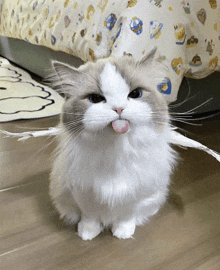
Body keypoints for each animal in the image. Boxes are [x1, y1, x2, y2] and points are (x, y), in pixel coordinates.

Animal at [49, 47, 177, 239]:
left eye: (135, 94)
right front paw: (86, 233)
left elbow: (126, 215)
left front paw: (122, 233)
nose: (118, 109)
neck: (117, 150)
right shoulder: (83, 192)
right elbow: (89, 216)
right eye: (95, 98)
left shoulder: (135, 193)